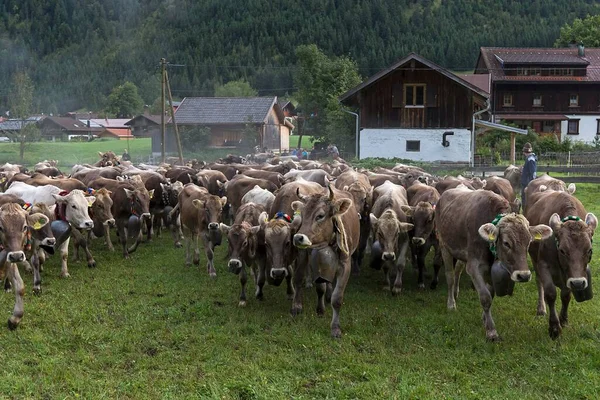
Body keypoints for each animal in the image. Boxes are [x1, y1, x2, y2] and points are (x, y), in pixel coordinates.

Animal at [292, 184, 358, 338]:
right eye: (302, 215)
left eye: (320, 216)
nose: (298, 238)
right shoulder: (312, 258)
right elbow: (314, 285)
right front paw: (315, 309)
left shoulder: (345, 265)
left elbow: (337, 298)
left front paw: (335, 328)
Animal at [434, 188, 552, 340]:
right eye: (506, 243)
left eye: (529, 242)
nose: (524, 276)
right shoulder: (474, 266)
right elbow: (485, 297)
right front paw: (491, 331)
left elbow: (491, 293)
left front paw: (484, 318)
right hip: (444, 246)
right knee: (450, 277)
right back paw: (451, 304)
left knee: (458, 269)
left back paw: (455, 292)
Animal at [524, 189, 596, 340]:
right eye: (562, 250)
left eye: (589, 250)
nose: (578, 283)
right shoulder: (543, 264)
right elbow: (551, 294)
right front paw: (554, 328)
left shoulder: (569, 277)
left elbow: (566, 295)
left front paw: (564, 320)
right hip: (534, 257)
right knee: (539, 282)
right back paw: (541, 308)